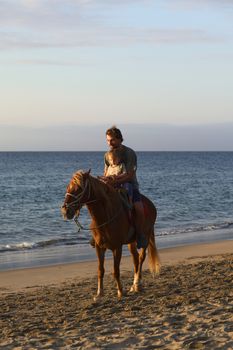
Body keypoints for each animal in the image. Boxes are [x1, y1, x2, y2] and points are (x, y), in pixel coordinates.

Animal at [60, 169, 160, 298]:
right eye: (68, 187)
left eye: (79, 188)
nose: (65, 210)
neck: (106, 215)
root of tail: (151, 205)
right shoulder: (99, 247)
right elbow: (100, 270)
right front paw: (99, 293)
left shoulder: (117, 248)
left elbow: (115, 270)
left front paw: (120, 291)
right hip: (131, 242)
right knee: (135, 259)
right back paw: (133, 286)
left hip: (145, 238)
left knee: (141, 258)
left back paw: (137, 284)